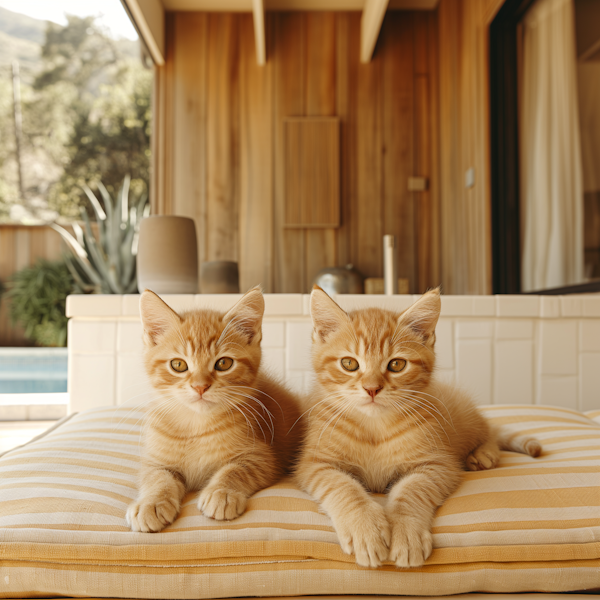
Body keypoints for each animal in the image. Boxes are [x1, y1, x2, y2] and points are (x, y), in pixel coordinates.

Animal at [128, 288, 302, 532]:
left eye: (223, 363)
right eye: (178, 365)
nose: (200, 386)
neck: (196, 425)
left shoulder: (264, 456)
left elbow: (235, 469)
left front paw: (222, 493)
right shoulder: (155, 460)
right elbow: (157, 478)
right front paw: (150, 503)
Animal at [296, 288, 544, 568]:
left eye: (396, 365)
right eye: (349, 363)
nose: (372, 388)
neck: (374, 427)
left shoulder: (438, 464)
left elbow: (412, 491)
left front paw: (406, 534)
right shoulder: (316, 464)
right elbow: (344, 487)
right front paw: (366, 530)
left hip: (467, 419)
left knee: (488, 431)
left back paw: (484, 454)